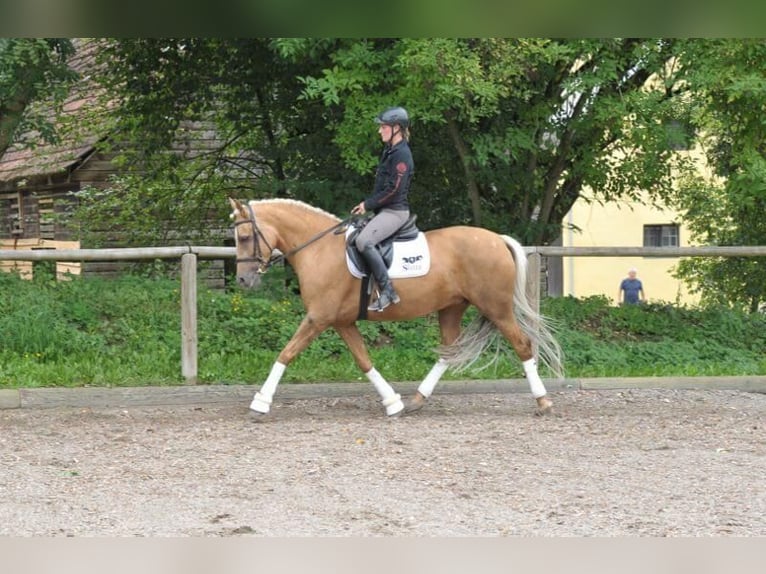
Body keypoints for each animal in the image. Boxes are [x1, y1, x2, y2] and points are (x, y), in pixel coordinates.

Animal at [228, 198, 564, 418]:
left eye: (244, 237)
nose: (243, 280)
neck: (320, 249)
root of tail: (497, 239)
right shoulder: (341, 321)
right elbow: (363, 361)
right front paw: (392, 402)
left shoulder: (318, 318)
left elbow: (286, 353)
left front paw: (260, 402)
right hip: (452, 308)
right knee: (448, 351)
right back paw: (416, 399)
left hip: (497, 308)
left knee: (522, 345)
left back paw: (543, 402)